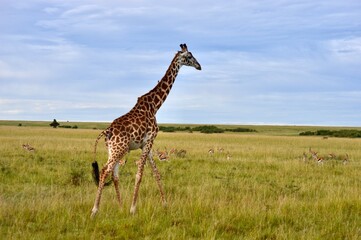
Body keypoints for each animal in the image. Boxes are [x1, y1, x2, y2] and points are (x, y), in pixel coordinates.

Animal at [90, 43, 201, 218]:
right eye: (189, 56)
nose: (199, 66)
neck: (154, 105)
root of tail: (106, 132)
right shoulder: (149, 140)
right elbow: (139, 174)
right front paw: (133, 209)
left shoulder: (146, 144)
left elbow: (156, 173)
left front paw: (165, 205)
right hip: (119, 149)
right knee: (104, 171)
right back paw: (95, 210)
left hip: (114, 150)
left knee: (114, 174)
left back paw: (119, 207)